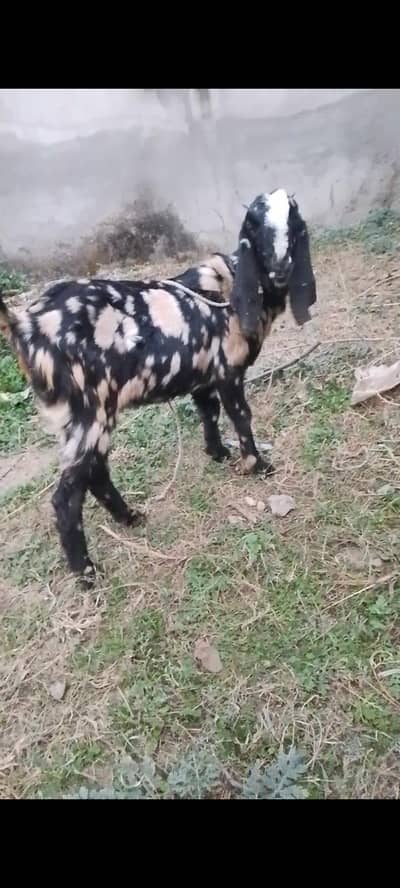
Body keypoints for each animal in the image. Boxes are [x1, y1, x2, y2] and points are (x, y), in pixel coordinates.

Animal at [0, 189, 317, 586]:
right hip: (90, 410)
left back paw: (130, 517)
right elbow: (241, 416)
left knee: (94, 471)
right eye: (254, 226)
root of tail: (25, 324)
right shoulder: (228, 372)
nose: (280, 268)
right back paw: (86, 572)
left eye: (293, 220)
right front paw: (257, 464)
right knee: (67, 495)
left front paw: (218, 453)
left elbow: (208, 412)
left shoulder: (203, 377)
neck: (230, 290)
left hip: (79, 416)